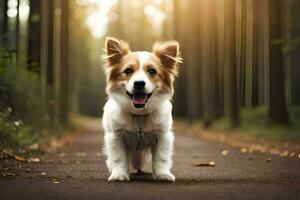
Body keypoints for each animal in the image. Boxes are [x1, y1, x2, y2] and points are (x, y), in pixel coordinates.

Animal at [102, 36, 182, 182]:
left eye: (152, 71)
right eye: (128, 71)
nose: (139, 83)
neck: (139, 115)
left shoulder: (163, 135)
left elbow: (161, 157)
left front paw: (163, 174)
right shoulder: (115, 136)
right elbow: (118, 158)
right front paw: (119, 174)